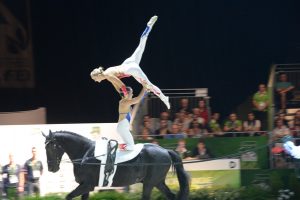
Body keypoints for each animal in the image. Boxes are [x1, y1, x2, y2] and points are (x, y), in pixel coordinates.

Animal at [43, 130, 189, 199]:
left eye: (51, 147)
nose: (51, 168)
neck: (86, 153)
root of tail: (165, 150)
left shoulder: (86, 185)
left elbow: (68, 196)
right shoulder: (86, 187)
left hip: (149, 184)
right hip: (158, 182)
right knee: (171, 196)